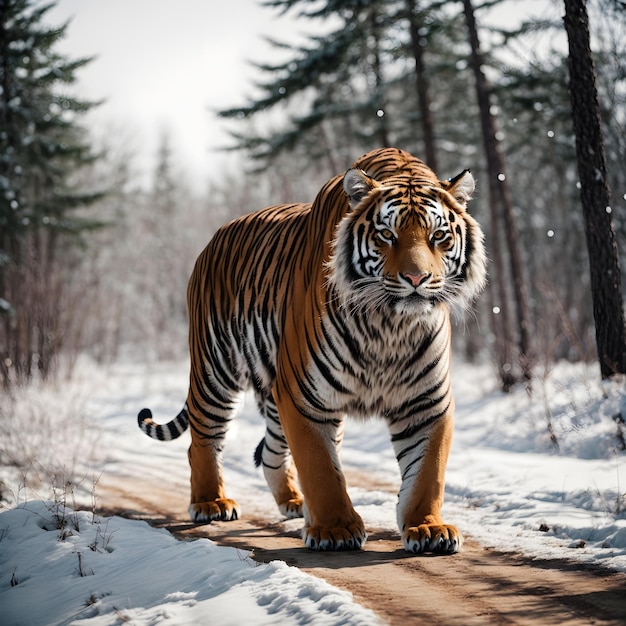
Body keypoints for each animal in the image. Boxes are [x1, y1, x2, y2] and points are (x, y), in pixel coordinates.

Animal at [138, 146, 488, 552]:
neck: (390, 325)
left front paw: (428, 528)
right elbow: (320, 467)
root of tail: (214, 238)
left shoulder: (426, 402)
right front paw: (335, 530)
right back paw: (211, 503)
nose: (417, 278)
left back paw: (292, 501)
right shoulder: (303, 397)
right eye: (387, 234)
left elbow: (428, 472)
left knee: (269, 451)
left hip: (273, 394)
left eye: (439, 235)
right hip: (217, 370)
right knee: (203, 441)